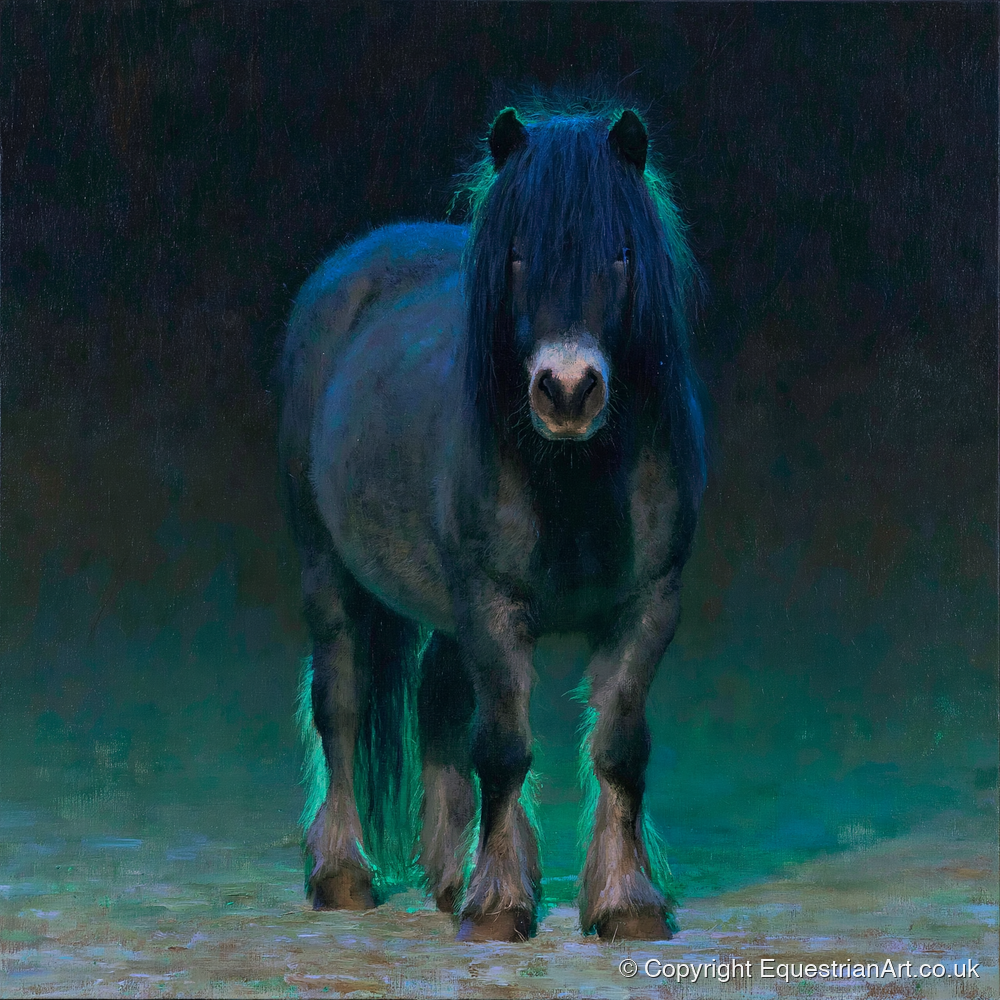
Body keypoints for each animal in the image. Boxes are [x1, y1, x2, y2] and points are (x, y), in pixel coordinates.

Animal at [278, 103, 706, 942]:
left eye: (621, 253)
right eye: (515, 255)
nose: (567, 390)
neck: (574, 480)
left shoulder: (649, 606)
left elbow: (619, 749)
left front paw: (626, 903)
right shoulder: (491, 606)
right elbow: (504, 749)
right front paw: (501, 905)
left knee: (439, 705)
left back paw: (448, 876)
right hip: (327, 572)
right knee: (340, 705)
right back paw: (343, 874)